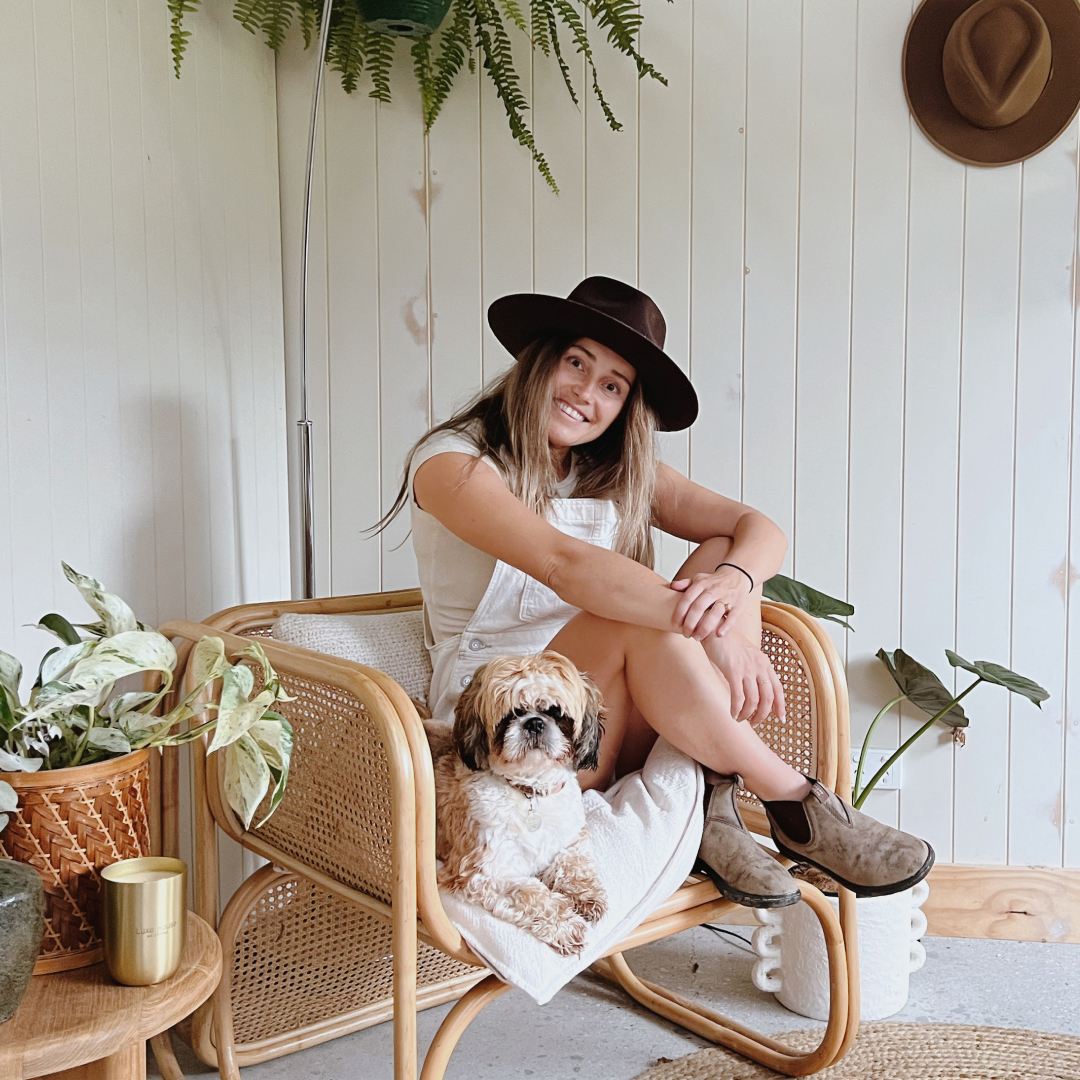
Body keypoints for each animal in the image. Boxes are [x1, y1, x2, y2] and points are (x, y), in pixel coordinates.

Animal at [429, 648, 609, 954]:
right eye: (512, 714)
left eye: (556, 713)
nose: (534, 723)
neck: (530, 790)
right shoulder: (485, 872)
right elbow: (532, 894)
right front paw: (565, 925)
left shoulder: (569, 840)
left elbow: (572, 864)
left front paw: (585, 894)